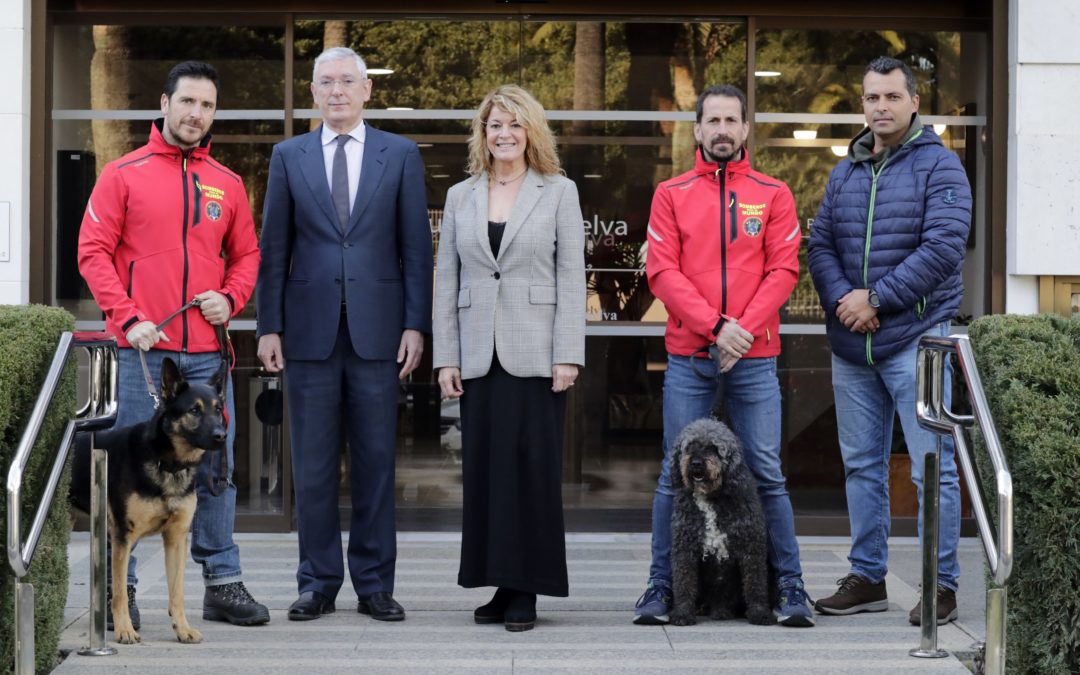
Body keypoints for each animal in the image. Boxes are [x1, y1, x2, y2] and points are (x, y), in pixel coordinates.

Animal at [70, 358, 227, 643]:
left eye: (218, 409)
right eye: (194, 410)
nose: (222, 436)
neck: (167, 462)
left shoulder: (176, 539)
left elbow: (177, 592)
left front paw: (182, 628)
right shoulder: (122, 537)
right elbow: (120, 591)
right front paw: (124, 629)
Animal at [665, 419, 777, 622]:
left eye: (714, 448)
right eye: (690, 446)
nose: (696, 463)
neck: (711, 498)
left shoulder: (752, 547)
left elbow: (755, 584)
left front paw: (760, 613)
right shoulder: (684, 549)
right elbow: (684, 583)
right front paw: (683, 613)